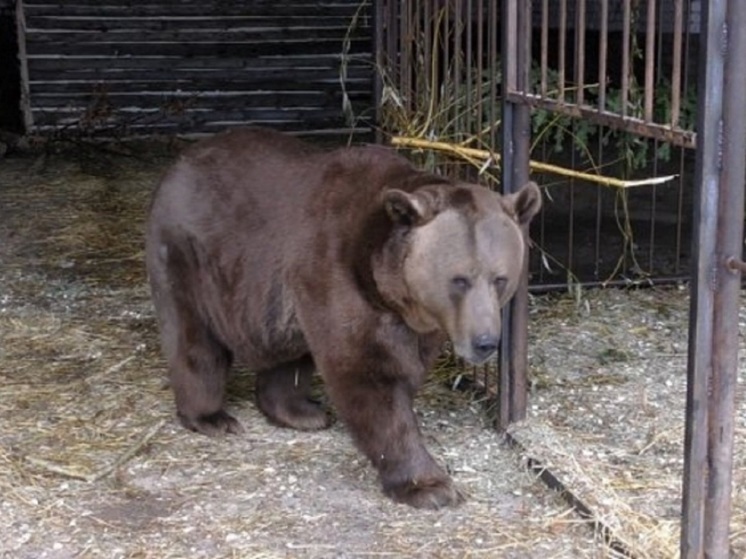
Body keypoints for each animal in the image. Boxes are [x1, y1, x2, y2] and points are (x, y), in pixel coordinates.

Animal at [145, 128, 540, 512]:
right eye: (459, 279)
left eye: (500, 278)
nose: (485, 341)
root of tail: (181, 161)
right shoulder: (335, 271)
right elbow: (366, 374)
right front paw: (430, 486)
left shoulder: (416, 321)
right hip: (187, 255)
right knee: (194, 339)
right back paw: (212, 417)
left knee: (288, 352)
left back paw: (300, 412)